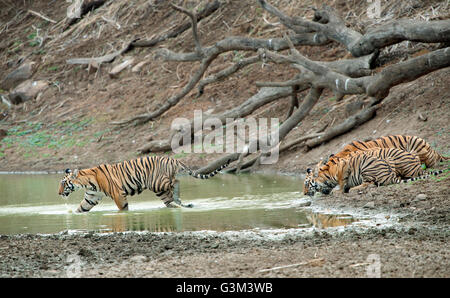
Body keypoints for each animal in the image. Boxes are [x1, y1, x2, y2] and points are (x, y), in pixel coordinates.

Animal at [57, 156, 229, 212]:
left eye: (64, 183)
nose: (58, 193)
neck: (87, 182)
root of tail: (173, 159)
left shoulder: (118, 194)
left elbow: (123, 209)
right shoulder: (91, 197)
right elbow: (82, 208)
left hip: (157, 184)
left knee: (173, 188)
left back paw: (179, 201)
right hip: (162, 187)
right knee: (173, 194)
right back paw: (182, 203)